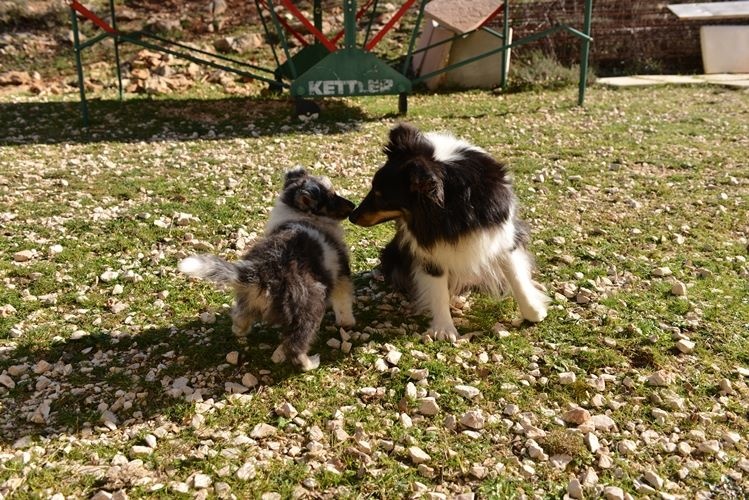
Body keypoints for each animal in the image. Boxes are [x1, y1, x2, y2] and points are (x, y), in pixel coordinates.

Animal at [180, 169, 356, 372]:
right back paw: (309, 363)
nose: (354, 206)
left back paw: (241, 330)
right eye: (332, 197)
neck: (297, 213)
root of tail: (261, 272)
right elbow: (343, 302)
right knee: (295, 344)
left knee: (239, 317)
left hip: (247, 298)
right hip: (308, 307)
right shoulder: (341, 271)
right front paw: (348, 322)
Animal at [348, 123, 548, 340]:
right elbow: (438, 289)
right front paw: (444, 330)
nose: (351, 216)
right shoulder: (428, 247)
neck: (455, 201)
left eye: (381, 197)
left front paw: (534, 312)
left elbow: (516, 276)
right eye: (373, 189)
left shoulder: (501, 234)